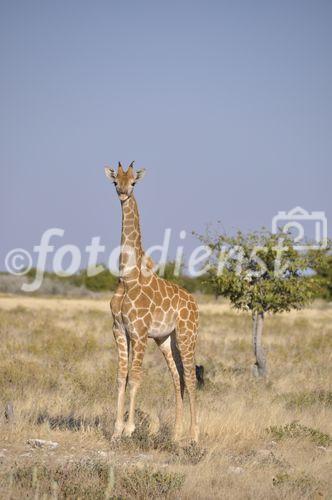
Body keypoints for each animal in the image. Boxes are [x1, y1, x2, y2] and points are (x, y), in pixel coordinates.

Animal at [105, 161, 198, 442]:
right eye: (115, 181)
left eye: (134, 182)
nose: (123, 193)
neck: (127, 277)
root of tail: (195, 304)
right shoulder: (119, 330)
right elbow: (121, 376)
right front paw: (115, 430)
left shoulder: (139, 331)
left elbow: (135, 377)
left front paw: (129, 429)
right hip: (166, 339)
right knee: (177, 377)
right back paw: (176, 435)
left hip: (187, 336)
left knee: (191, 377)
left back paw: (194, 436)